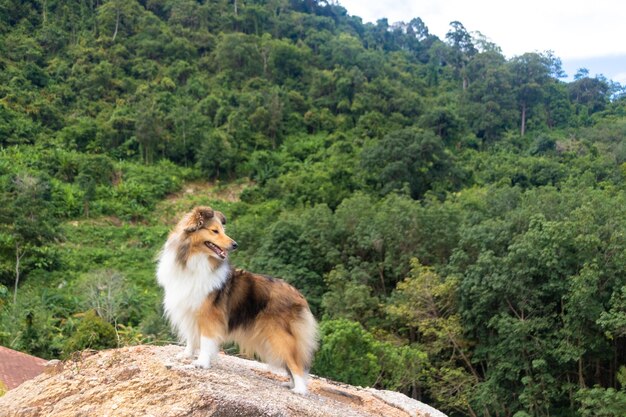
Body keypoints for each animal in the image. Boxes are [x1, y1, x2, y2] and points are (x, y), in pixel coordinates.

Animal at [157, 206, 316, 394]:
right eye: (215, 231)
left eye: (223, 230)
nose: (235, 245)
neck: (195, 261)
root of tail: (299, 295)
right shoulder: (189, 312)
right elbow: (191, 338)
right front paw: (186, 355)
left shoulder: (209, 317)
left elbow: (205, 341)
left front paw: (201, 363)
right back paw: (290, 384)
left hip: (280, 336)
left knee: (296, 363)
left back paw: (299, 389)